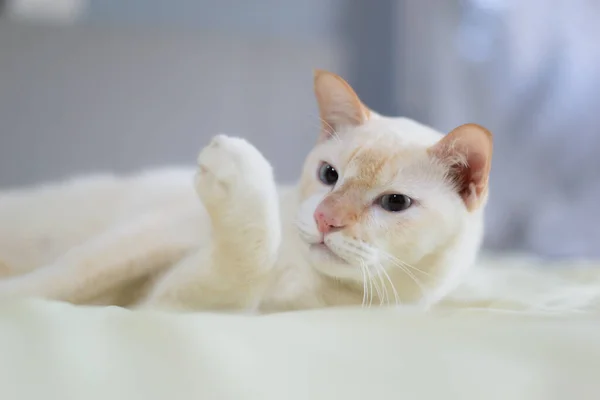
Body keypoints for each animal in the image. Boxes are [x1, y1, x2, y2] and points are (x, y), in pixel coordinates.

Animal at [0, 69, 492, 312]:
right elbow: (66, 276)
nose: (325, 219)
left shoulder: (175, 301)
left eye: (395, 202)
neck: (297, 272)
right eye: (329, 175)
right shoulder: (152, 238)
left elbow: (245, 262)